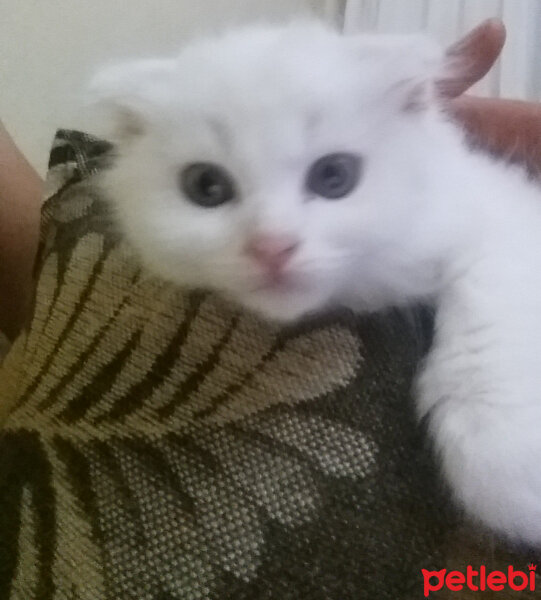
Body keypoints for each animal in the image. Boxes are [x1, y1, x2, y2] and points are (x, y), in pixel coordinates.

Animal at [87, 23, 540, 548]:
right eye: (206, 186)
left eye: (334, 176)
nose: (272, 246)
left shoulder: (503, 218)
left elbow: (490, 321)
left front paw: (512, 458)